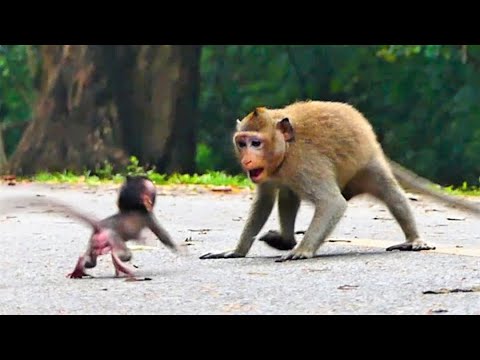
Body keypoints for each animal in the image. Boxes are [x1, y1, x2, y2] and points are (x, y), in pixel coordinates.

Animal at [201, 100, 480, 262]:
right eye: (242, 143)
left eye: (256, 143)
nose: (247, 159)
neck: (286, 150)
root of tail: (371, 138)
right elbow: (265, 201)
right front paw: (237, 251)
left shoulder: (305, 164)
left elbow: (332, 203)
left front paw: (302, 251)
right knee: (288, 193)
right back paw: (285, 240)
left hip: (368, 167)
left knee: (391, 194)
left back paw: (413, 240)